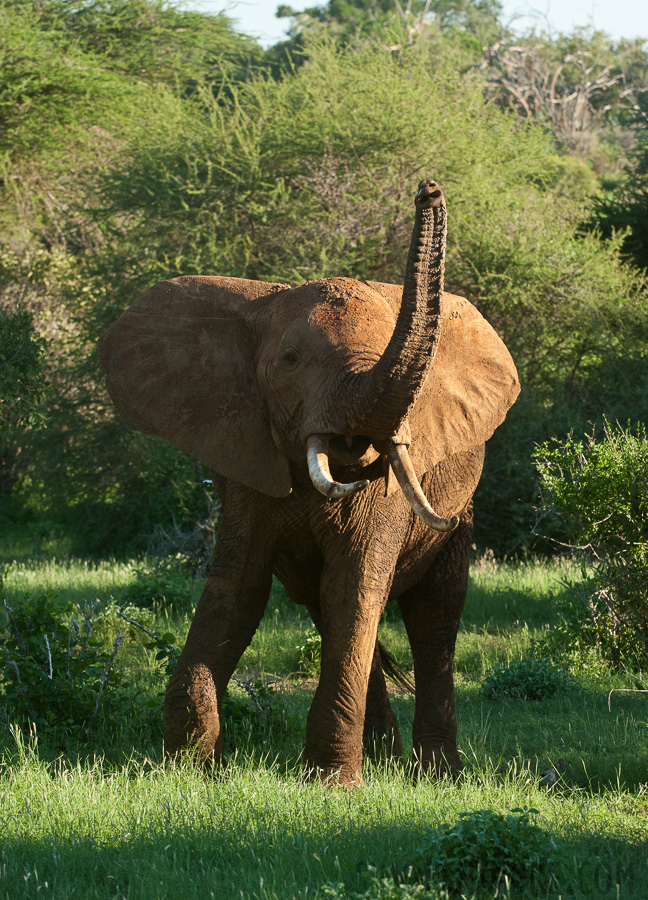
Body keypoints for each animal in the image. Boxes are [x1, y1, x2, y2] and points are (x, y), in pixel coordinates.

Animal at [98, 179, 520, 784]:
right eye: (291, 360)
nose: (429, 190)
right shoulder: (247, 454)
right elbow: (238, 588)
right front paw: (190, 769)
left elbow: (355, 585)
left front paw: (332, 784)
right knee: (332, 609)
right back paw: (386, 759)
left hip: (459, 515)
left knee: (434, 616)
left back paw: (435, 773)